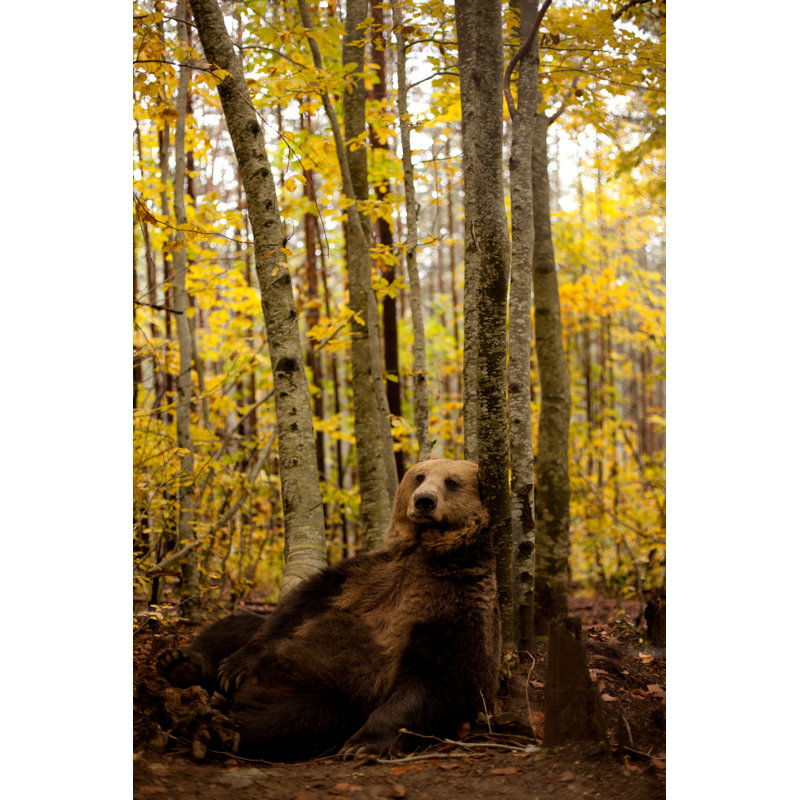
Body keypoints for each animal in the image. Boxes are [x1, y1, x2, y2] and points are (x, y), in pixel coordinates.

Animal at [157, 458, 500, 761]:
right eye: (419, 476)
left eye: (452, 481)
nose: (424, 501)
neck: (426, 554)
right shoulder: (370, 574)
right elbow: (304, 602)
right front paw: (233, 666)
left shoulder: (452, 603)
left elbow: (438, 679)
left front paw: (364, 744)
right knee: (236, 626)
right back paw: (183, 663)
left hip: (330, 697)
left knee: (294, 721)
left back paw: (220, 723)